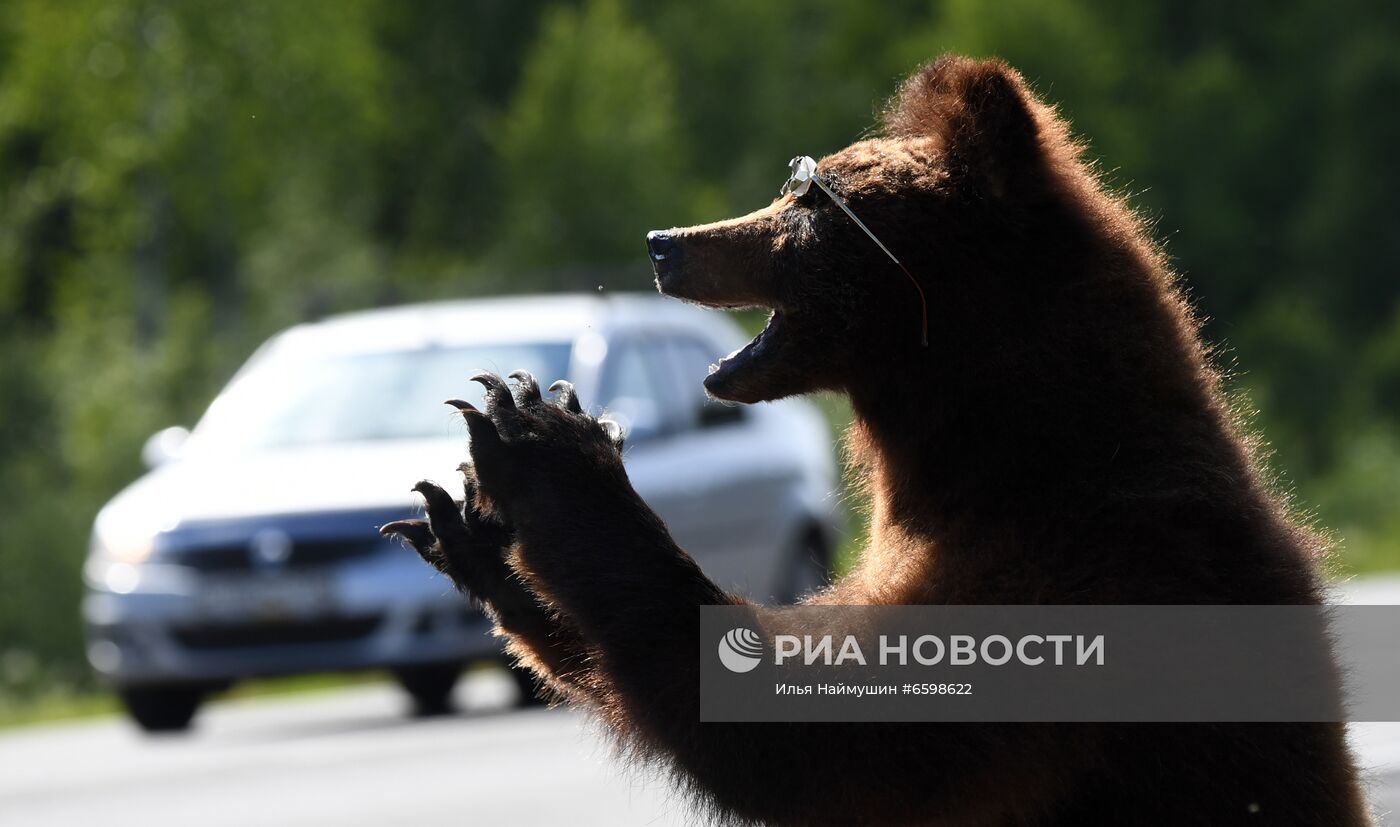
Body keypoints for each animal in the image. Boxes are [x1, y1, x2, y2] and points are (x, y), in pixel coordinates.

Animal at [383, 54, 1366, 822]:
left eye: (805, 199)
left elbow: (832, 734)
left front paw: (542, 442)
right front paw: (472, 525)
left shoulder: (1078, 577)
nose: (666, 241)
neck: (989, 446)